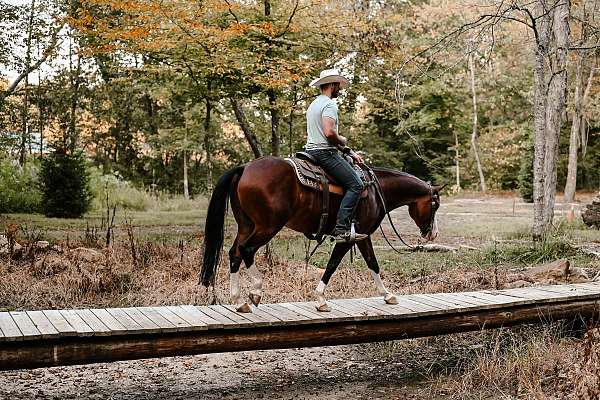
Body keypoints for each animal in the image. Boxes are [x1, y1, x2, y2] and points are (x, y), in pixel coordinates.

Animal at [200, 156, 440, 312]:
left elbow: (373, 263)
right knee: (246, 250)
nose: (433, 234)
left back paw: (238, 300)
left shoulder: (363, 236)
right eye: (435, 205)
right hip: (267, 227)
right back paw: (256, 291)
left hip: (247, 225)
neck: (375, 189)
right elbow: (333, 265)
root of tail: (244, 168)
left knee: (234, 253)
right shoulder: (348, 238)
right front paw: (321, 299)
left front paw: (388, 295)